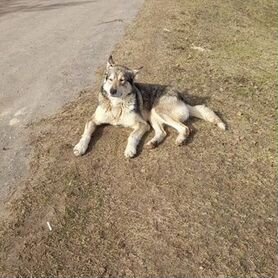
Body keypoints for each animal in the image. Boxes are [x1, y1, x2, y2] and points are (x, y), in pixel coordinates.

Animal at [73, 55, 225, 159]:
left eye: (122, 80)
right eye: (110, 79)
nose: (112, 91)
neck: (116, 106)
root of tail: (181, 96)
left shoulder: (142, 124)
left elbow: (132, 136)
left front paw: (130, 150)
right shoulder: (92, 120)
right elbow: (86, 134)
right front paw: (80, 147)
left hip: (157, 111)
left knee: (185, 128)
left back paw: (180, 139)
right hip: (153, 116)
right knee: (162, 132)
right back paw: (153, 142)